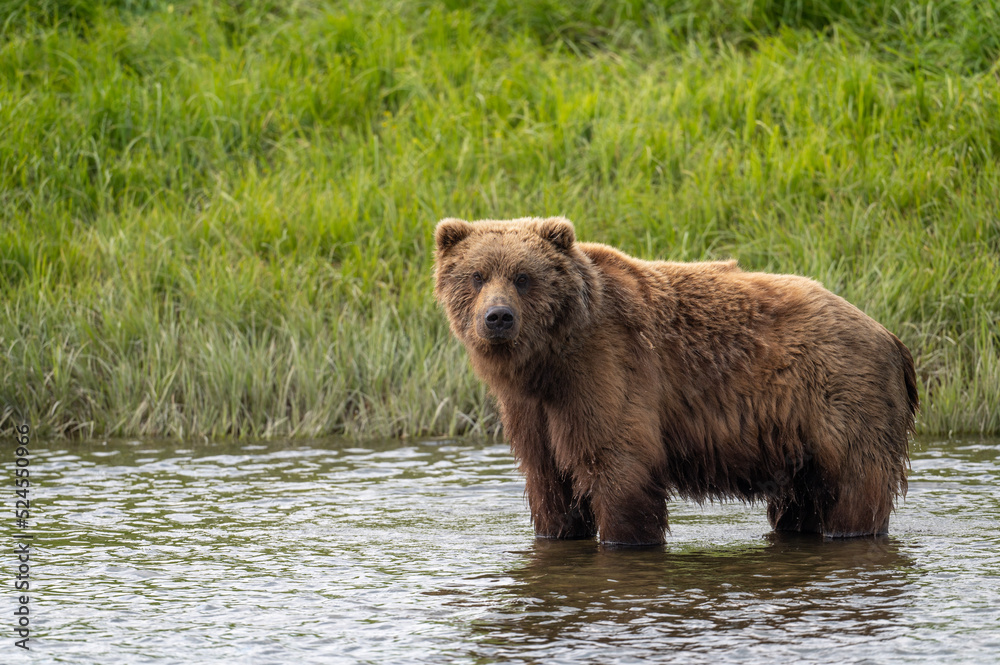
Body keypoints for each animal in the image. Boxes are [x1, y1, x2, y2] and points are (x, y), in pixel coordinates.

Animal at [433, 216, 918, 546]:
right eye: (476, 276)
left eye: (523, 277)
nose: (498, 317)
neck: (548, 360)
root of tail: (889, 336)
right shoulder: (532, 409)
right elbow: (549, 482)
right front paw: (561, 529)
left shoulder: (606, 369)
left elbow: (618, 466)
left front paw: (624, 537)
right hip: (797, 440)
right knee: (801, 502)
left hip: (840, 396)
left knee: (855, 490)